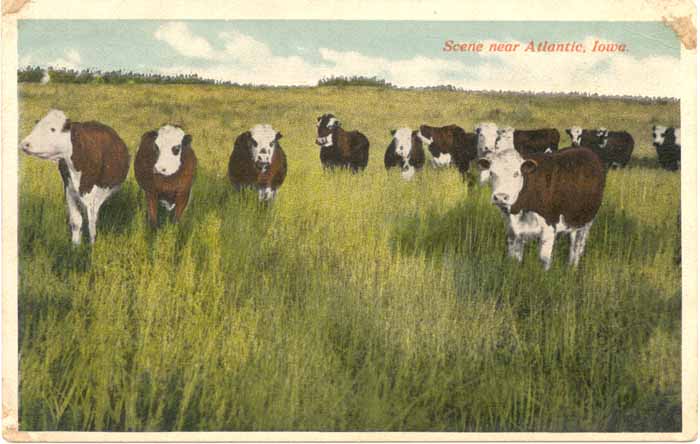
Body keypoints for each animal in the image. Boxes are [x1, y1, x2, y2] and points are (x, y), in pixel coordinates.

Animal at [19, 109, 130, 245]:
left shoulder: (92, 194)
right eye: (36, 126)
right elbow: (76, 221)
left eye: (52, 129)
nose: (25, 144)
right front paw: (75, 245)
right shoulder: (69, 190)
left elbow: (91, 225)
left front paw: (91, 247)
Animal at [478, 126, 604, 268]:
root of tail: (585, 150)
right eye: (491, 173)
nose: (500, 197)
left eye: (516, 173)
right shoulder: (512, 232)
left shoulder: (549, 230)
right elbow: (514, 260)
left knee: (578, 246)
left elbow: (544, 260)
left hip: (587, 220)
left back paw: (573, 268)